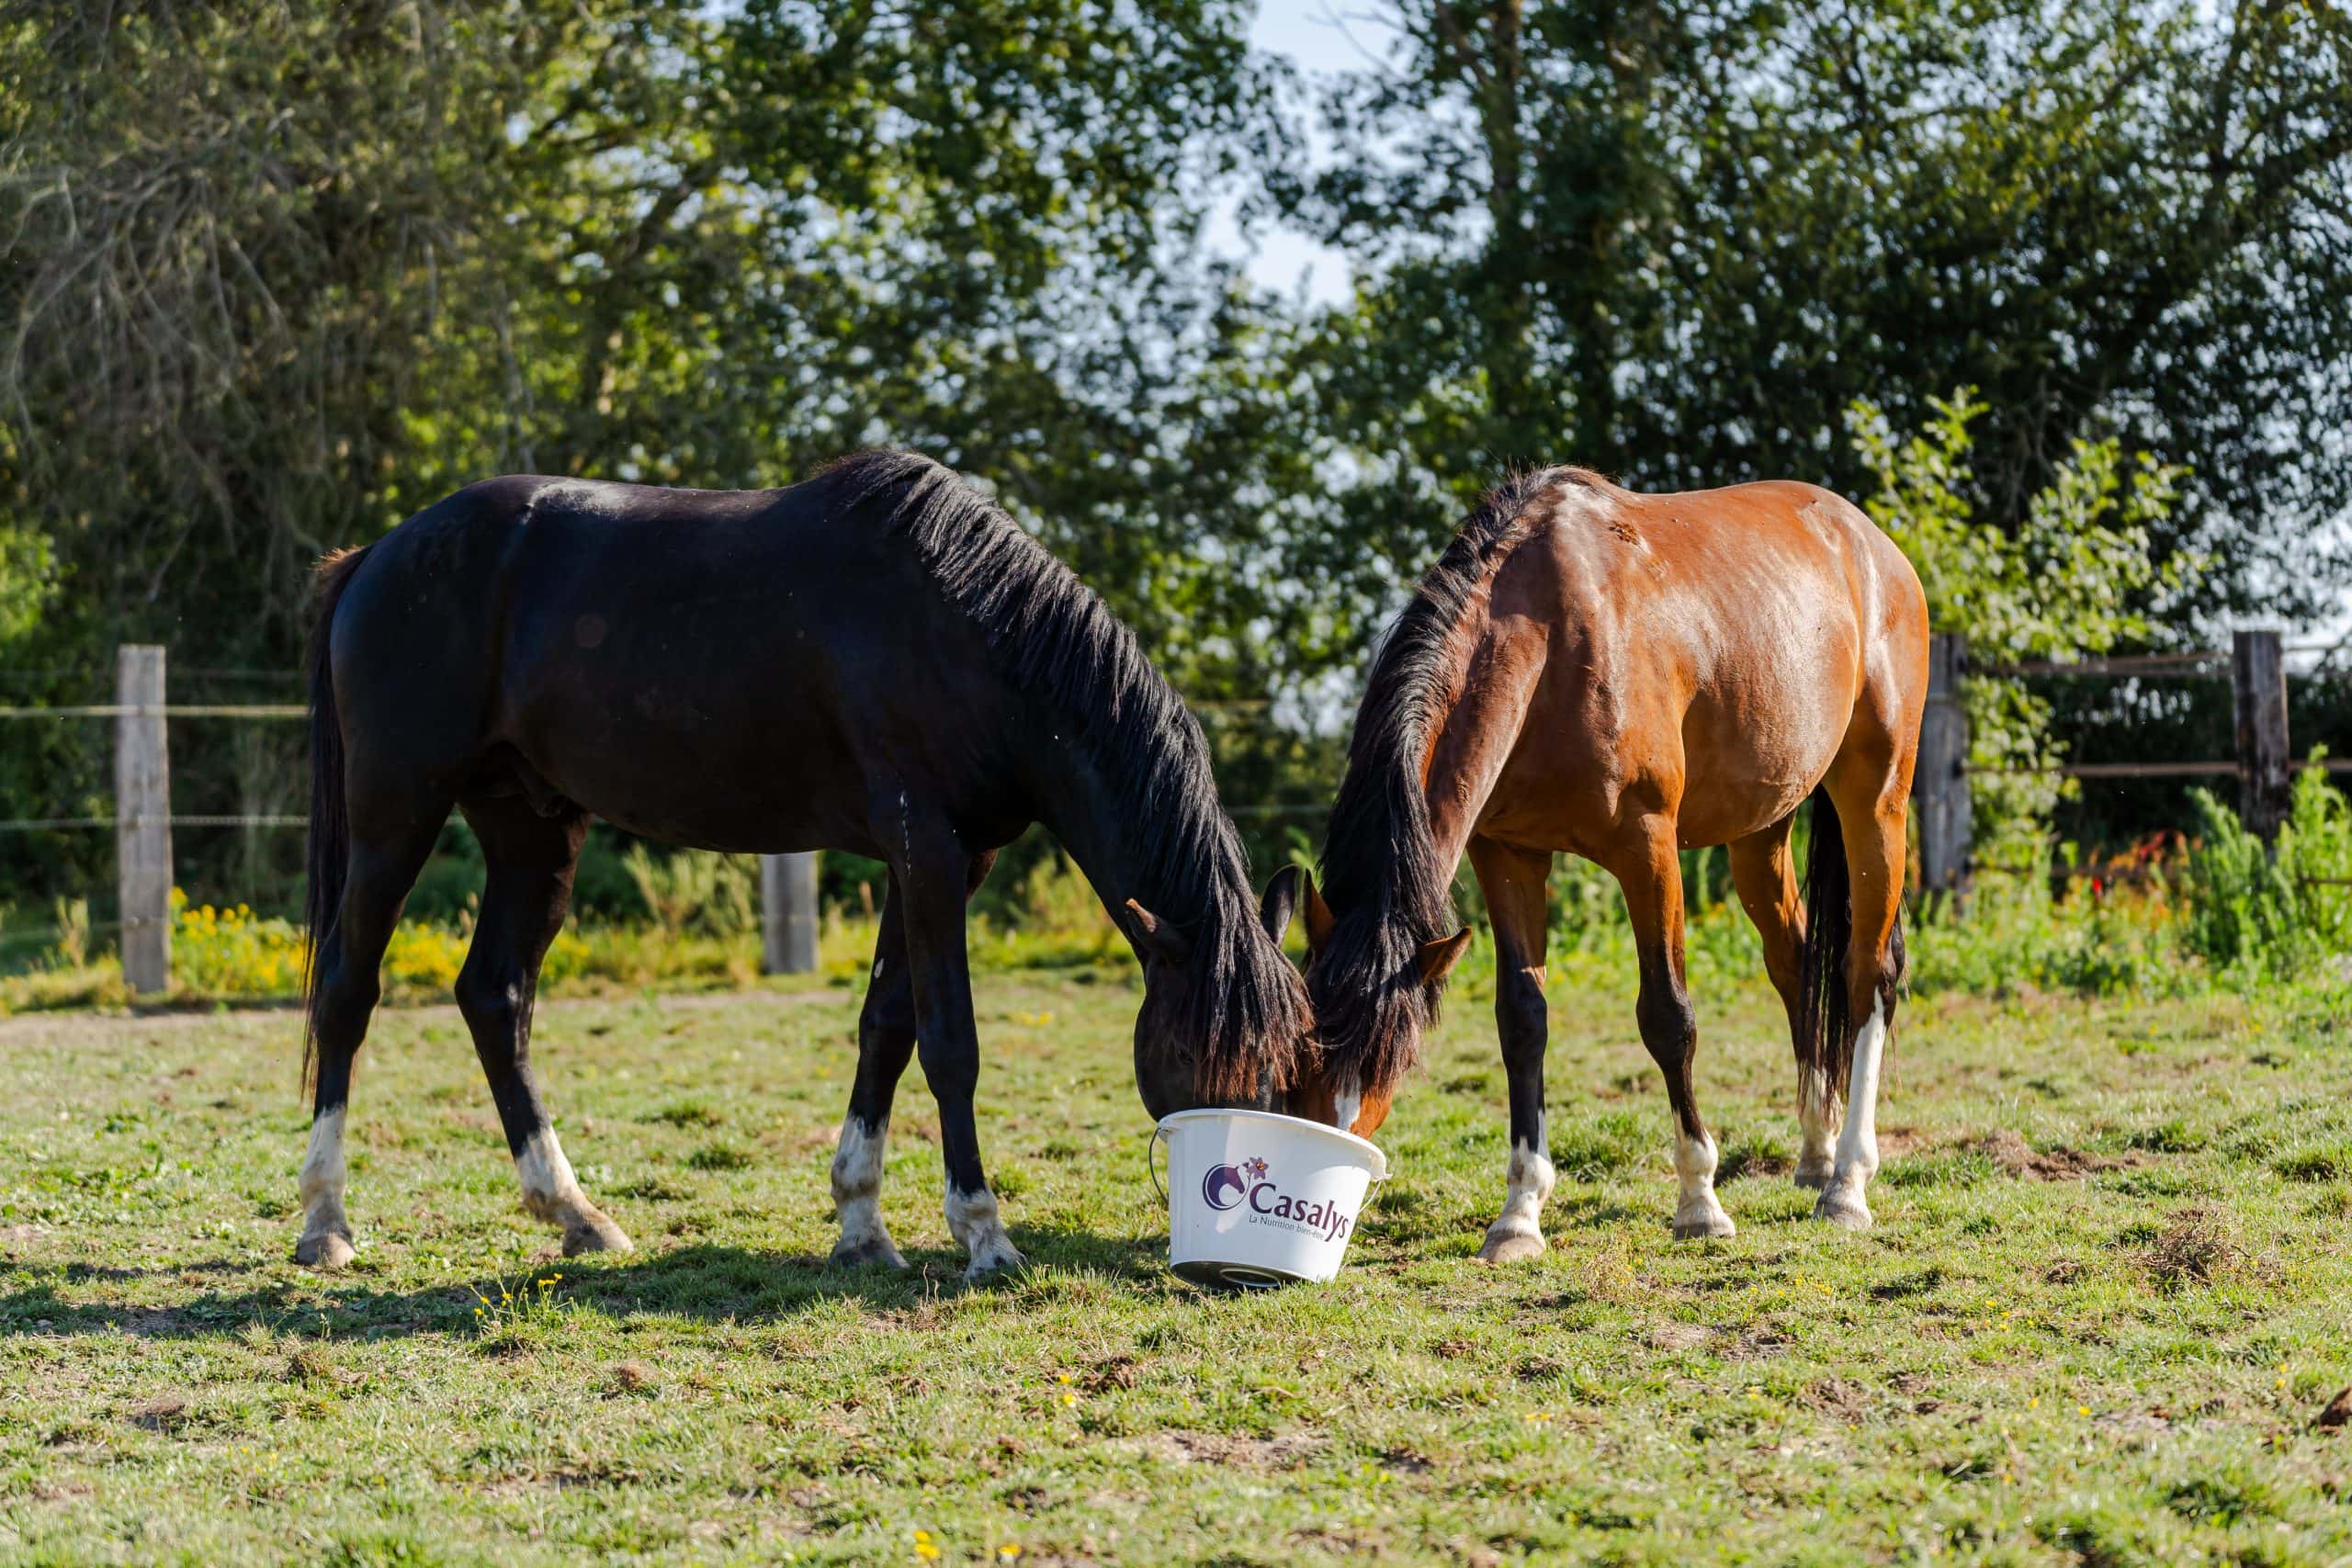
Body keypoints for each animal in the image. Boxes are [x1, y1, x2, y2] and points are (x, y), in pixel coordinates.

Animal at [296, 446, 1317, 1279]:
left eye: (1280, 1054)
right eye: (1187, 1050)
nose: (1231, 1226)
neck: (972, 633)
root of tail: (374, 558)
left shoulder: (949, 860)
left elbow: (886, 1029)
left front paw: (862, 1227)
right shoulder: (927, 850)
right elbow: (950, 1043)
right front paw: (983, 1233)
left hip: (532, 829)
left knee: (495, 996)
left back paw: (575, 1214)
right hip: (395, 817)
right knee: (348, 989)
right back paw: (325, 1223)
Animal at [1288, 463, 1928, 1250]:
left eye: (1392, 1052)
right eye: (1305, 1045)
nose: (1326, 1150)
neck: (1553, 635)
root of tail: (1873, 546)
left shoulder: (1647, 847)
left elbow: (1668, 1016)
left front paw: (1700, 1199)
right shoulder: (1509, 855)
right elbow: (1521, 1020)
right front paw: (1519, 1214)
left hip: (1875, 801)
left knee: (1866, 974)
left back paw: (1847, 1182)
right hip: (1761, 830)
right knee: (1799, 963)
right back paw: (1815, 1153)